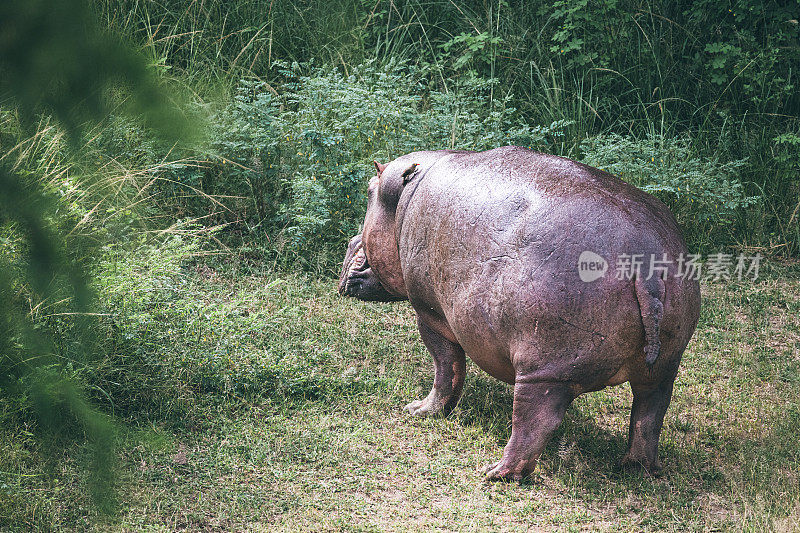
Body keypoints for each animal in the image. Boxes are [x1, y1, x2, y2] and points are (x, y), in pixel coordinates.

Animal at [338, 148, 700, 480]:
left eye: (369, 189)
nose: (351, 241)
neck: (403, 196)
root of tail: (644, 259)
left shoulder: (431, 316)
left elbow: (446, 370)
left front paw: (418, 411)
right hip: (664, 367)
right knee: (649, 413)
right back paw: (635, 469)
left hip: (545, 370)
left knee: (533, 421)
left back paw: (495, 473)